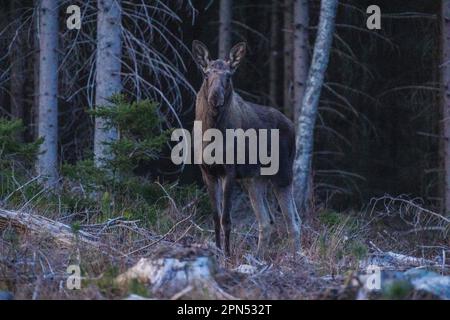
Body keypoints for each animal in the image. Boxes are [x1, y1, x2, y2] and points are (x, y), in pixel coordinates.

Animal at [192, 40, 300, 258]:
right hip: (255, 180)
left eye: (228, 76)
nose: (215, 98)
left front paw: (227, 254)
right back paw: (259, 257)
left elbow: (226, 218)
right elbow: (215, 217)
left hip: (283, 174)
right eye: (206, 74)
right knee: (266, 221)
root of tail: (292, 126)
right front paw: (218, 251)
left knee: (292, 223)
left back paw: (295, 259)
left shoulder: (230, 171)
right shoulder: (207, 172)